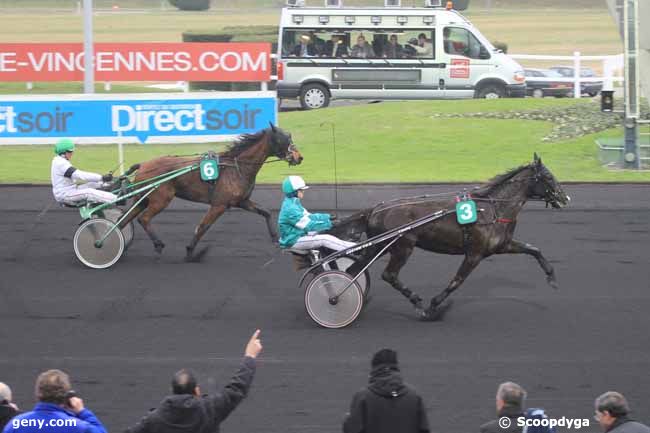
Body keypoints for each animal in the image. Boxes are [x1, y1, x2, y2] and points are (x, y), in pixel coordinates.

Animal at [119, 123, 302, 262]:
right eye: (284, 139)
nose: (299, 157)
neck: (236, 167)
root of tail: (143, 165)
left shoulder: (241, 201)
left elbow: (266, 212)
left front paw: (275, 238)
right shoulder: (219, 205)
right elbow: (203, 227)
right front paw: (191, 252)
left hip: (142, 199)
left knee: (124, 220)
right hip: (161, 199)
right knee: (144, 218)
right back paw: (158, 245)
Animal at [330, 154, 568, 318]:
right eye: (548, 176)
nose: (565, 198)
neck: (493, 209)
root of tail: (376, 209)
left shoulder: (503, 245)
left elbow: (534, 249)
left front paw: (552, 278)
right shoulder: (474, 253)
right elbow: (456, 281)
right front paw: (433, 306)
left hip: (379, 246)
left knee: (354, 269)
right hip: (401, 246)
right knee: (388, 275)